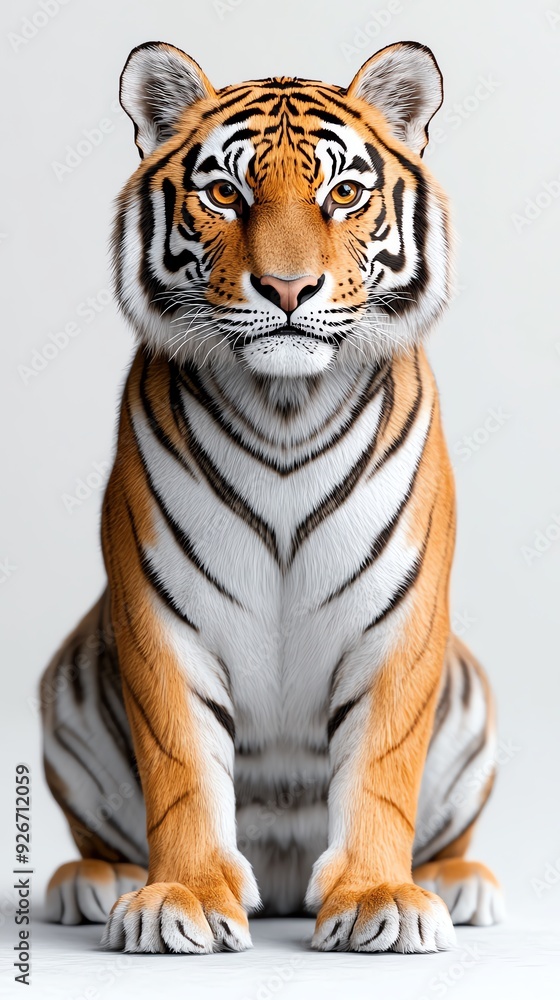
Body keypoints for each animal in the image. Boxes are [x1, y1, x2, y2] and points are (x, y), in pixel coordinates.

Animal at [40, 39, 504, 955]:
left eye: (344, 194)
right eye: (226, 194)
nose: (288, 290)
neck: (286, 406)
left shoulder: (401, 614)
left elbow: (382, 766)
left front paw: (379, 898)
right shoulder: (158, 610)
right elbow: (181, 764)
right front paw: (181, 898)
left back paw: (457, 880)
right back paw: (96, 879)